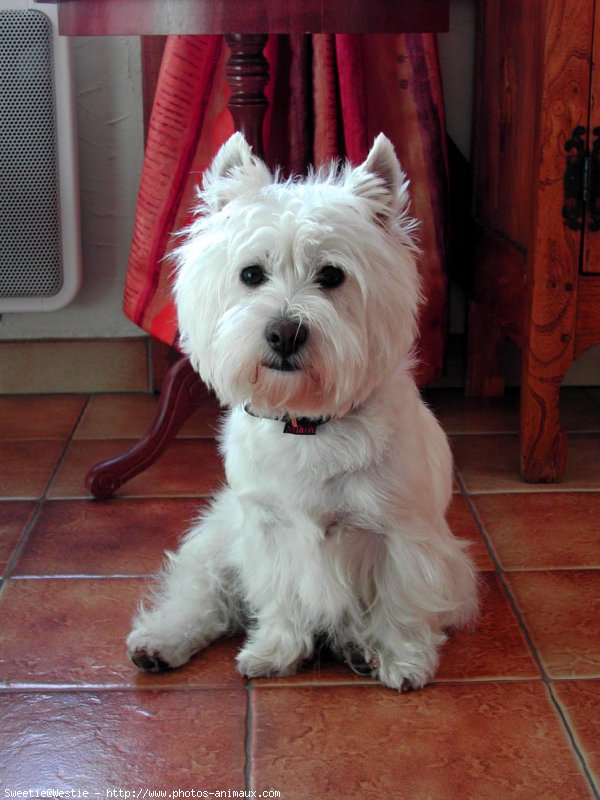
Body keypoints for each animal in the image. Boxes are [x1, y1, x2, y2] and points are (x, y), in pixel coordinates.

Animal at [126, 133, 478, 692]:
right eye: (251, 274)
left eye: (332, 275)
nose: (284, 333)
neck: (308, 423)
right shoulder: (269, 530)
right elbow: (280, 597)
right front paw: (273, 651)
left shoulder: (402, 534)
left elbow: (400, 603)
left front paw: (402, 661)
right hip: (220, 533)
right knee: (205, 591)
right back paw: (159, 643)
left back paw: (358, 647)